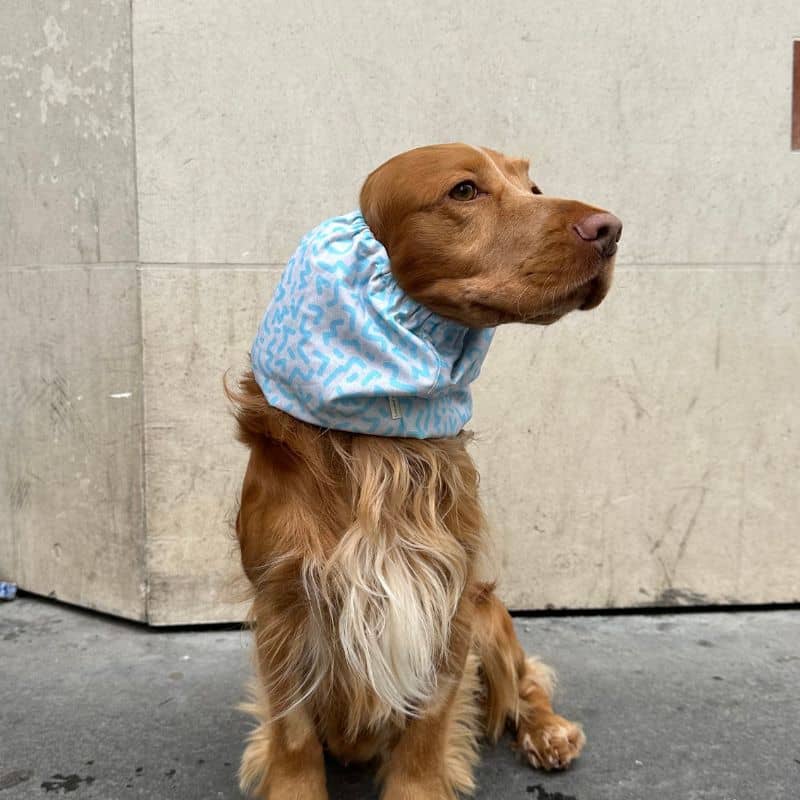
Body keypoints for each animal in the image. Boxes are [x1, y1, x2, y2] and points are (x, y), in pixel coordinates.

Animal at [228, 145, 620, 800]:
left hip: (490, 610)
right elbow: (292, 732)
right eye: (464, 190)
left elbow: (429, 722)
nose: (610, 228)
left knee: (526, 681)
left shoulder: (448, 598)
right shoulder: (283, 601)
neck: (378, 445)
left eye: (533, 187)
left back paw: (549, 733)